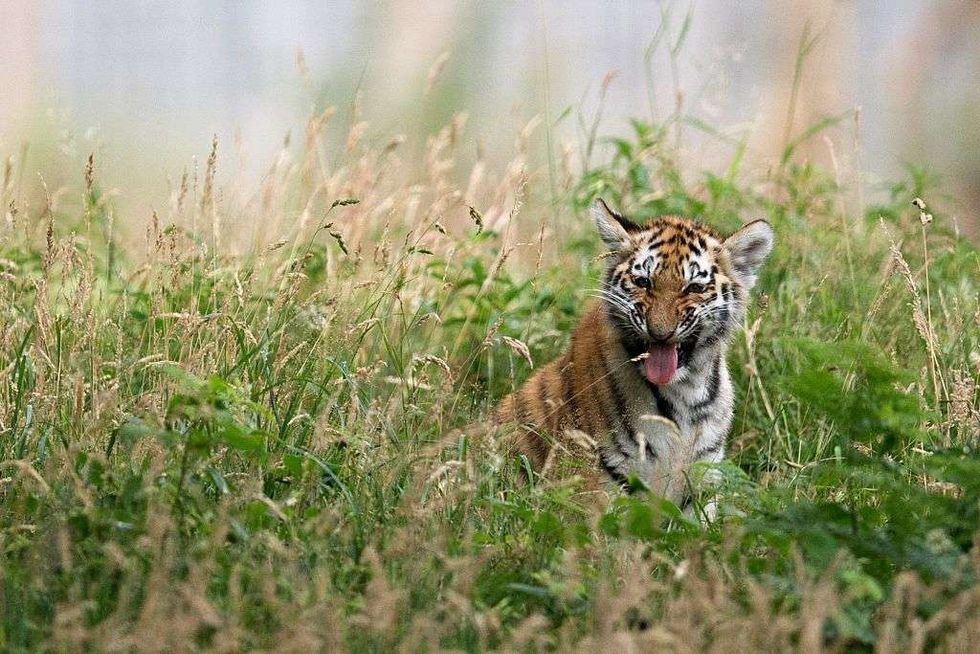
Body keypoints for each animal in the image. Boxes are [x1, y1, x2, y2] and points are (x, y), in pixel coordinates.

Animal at [490, 199, 773, 517]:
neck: (686, 389)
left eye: (694, 288)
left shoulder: (701, 485)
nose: (660, 333)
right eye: (643, 282)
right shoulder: (594, 488)